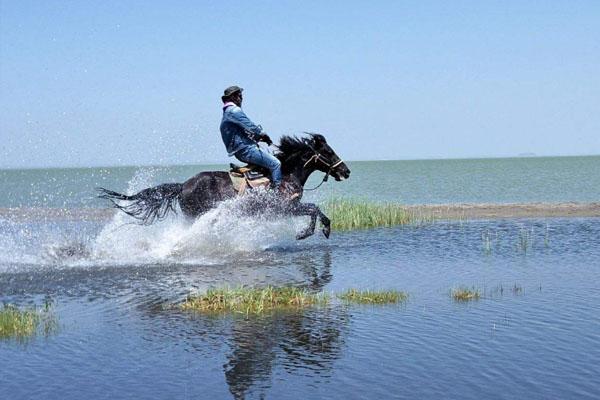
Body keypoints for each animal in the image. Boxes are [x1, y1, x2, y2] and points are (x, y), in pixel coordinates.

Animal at [98, 134, 350, 241]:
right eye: (328, 152)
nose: (346, 171)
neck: (287, 174)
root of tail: (182, 186)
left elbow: (315, 209)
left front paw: (320, 229)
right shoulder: (284, 209)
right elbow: (313, 209)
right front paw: (308, 232)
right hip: (195, 216)